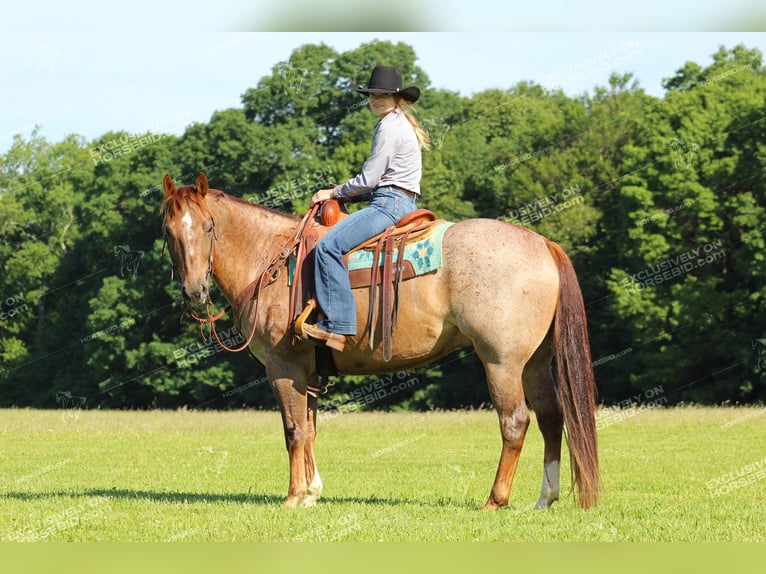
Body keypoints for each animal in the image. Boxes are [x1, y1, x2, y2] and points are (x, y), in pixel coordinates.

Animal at [162, 172, 604, 512]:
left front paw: (293, 497)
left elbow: (294, 430)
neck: (270, 258)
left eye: (208, 227)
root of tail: (542, 244)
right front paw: (312, 493)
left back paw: (495, 500)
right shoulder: (308, 372)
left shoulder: (283, 367)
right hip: (534, 363)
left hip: (502, 362)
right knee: (551, 418)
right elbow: (311, 428)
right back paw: (544, 499)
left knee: (515, 422)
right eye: (168, 232)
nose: (194, 291)